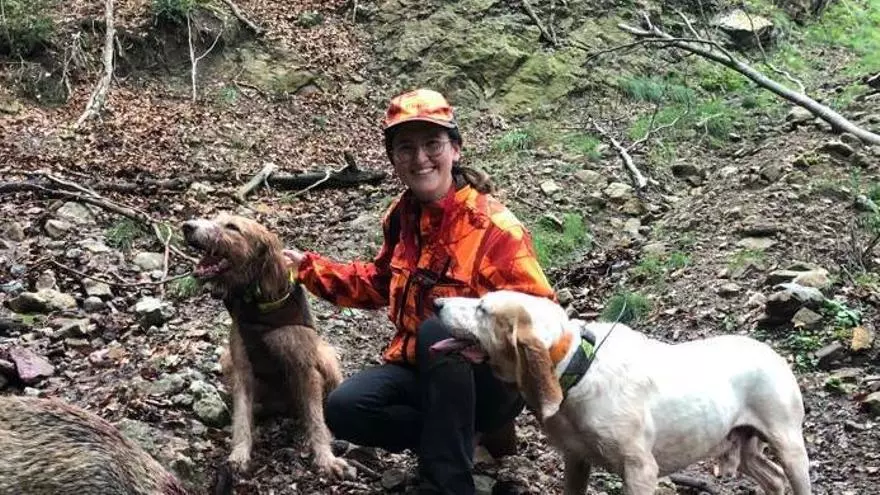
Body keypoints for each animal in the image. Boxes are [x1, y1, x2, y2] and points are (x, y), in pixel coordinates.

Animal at [181, 214, 352, 480]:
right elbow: (242, 417)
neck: (257, 302)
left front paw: (325, 457)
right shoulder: (242, 367)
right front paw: (239, 454)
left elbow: (316, 419)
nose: (187, 226)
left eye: (232, 227)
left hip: (325, 357)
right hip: (227, 359)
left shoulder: (305, 367)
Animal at [432, 290, 812, 495]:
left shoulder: (640, 470)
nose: (436, 303)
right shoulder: (576, 460)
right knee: (774, 479)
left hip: (790, 446)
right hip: (746, 448)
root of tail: (773, 354)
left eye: (482, 308)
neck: (577, 368)